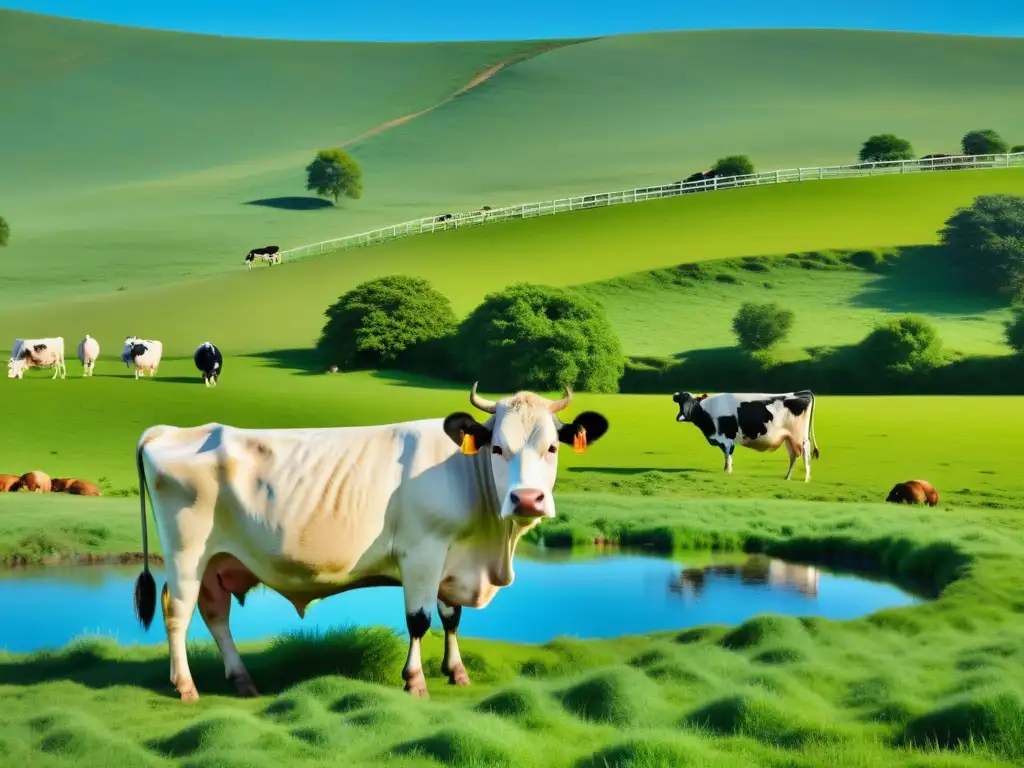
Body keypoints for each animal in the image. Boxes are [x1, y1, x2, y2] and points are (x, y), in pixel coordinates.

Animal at [128, 385, 606, 704]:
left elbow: (452, 618)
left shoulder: (452, 561)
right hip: (186, 553)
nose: (527, 498)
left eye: (552, 447)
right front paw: (415, 681)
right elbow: (419, 620)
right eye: (497, 448)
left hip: (218, 561)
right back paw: (186, 686)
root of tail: (166, 432)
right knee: (178, 611)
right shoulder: (422, 552)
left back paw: (242, 680)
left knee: (215, 613)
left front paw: (456, 672)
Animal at [671, 391, 823, 481]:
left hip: (801, 438)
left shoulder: (727, 439)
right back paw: (788, 477)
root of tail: (802, 393)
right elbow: (726, 456)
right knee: (793, 455)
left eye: (691, 401)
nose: (682, 416)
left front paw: (728, 471)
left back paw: (806, 478)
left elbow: (728, 456)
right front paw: (726, 470)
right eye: (681, 401)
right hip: (789, 438)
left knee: (805, 453)